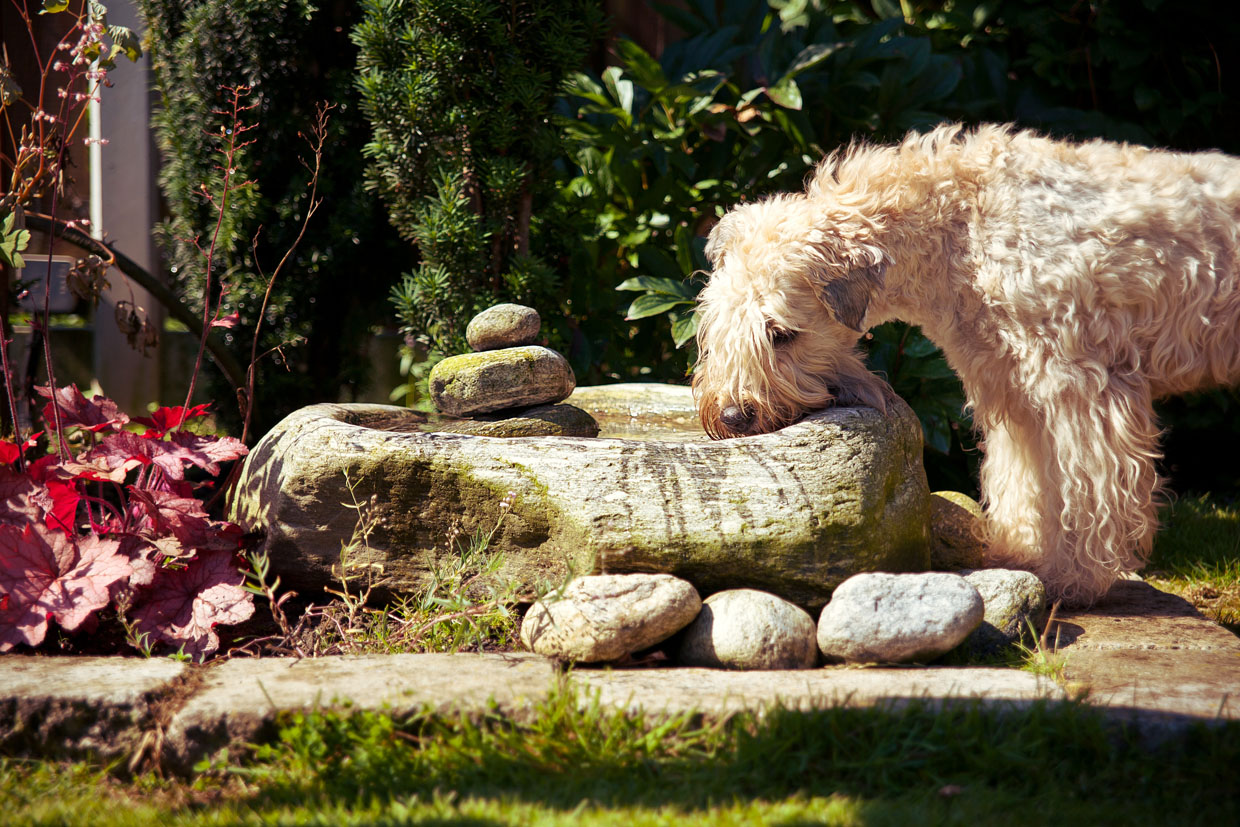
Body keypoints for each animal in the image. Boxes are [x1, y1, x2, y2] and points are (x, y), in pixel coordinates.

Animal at [694, 127, 1240, 607]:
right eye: (715, 324)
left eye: (781, 333)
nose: (733, 417)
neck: (959, 232)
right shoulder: (1014, 387)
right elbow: (1028, 482)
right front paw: (1024, 553)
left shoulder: (1077, 388)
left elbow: (1086, 492)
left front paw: (1072, 581)